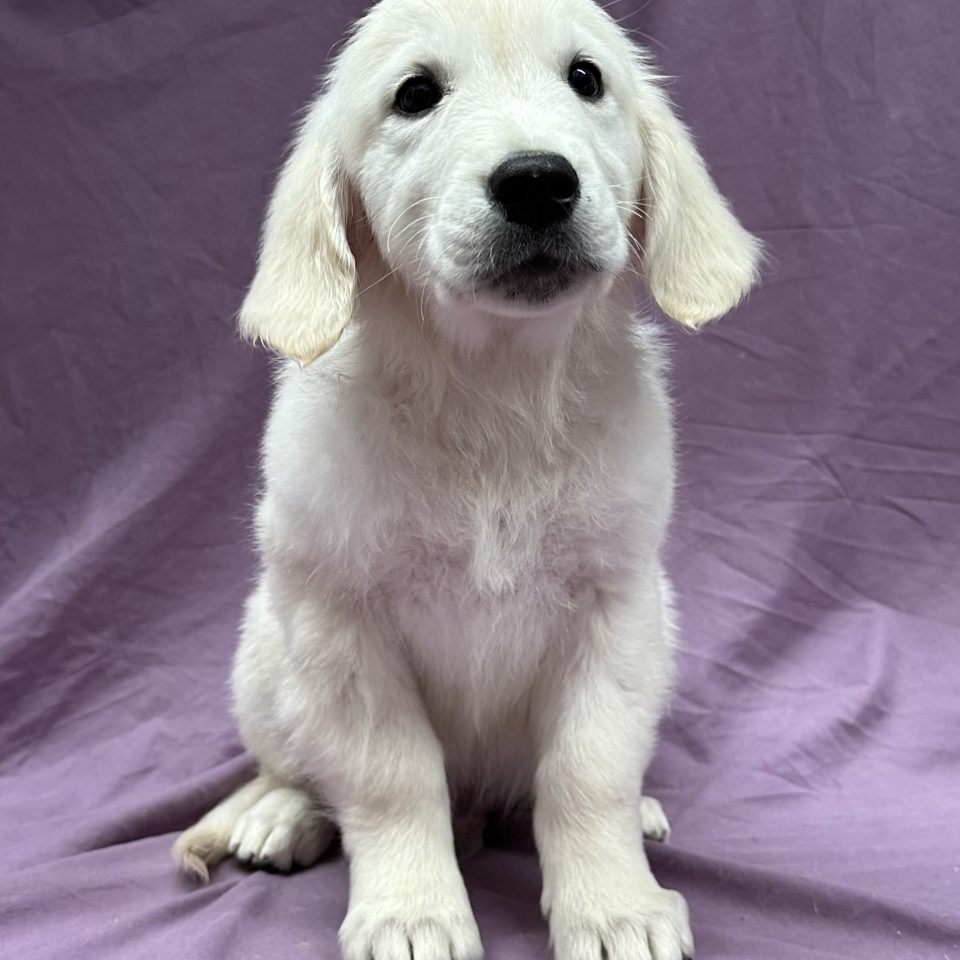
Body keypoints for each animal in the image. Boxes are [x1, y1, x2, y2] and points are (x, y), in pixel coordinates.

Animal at [171, 1, 756, 960]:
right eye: (415, 94)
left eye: (586, 78)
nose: (537, 181)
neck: (494, 391)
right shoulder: (343, 622)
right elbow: (391, 780)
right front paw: (412, 911)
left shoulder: (617, 608)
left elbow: (588, 772)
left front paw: (615, 905)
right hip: (265, 653)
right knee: (293, 765)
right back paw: (282, 816)